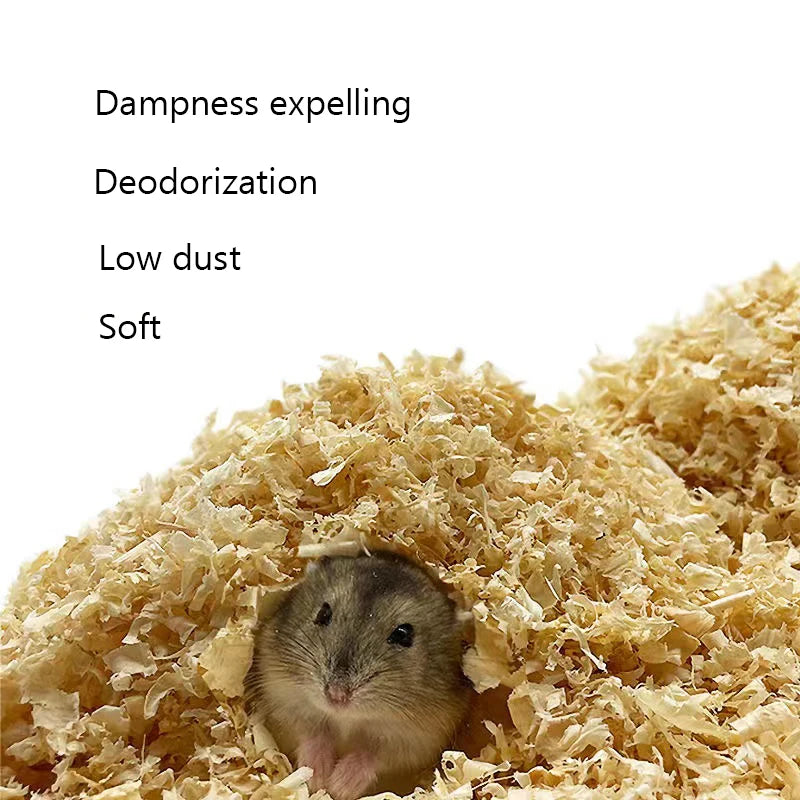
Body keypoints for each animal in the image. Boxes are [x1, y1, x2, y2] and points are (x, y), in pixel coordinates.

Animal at [249, 552, 471, 800]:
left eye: (403, 634)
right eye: (323, 613)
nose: (336, 695)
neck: (347, 720)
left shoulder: (419, 741)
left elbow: (375, 755)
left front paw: (339, 786)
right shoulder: (283, 701)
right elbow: (310, 734)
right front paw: (317, 778)